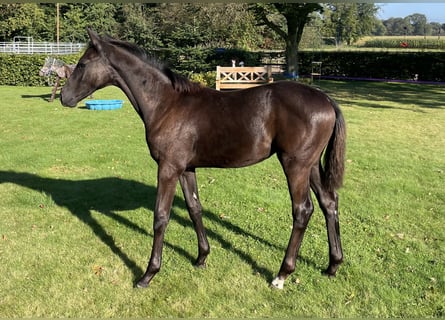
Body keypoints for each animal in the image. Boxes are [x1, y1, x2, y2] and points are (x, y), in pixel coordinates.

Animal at [60, 29, 346, 290]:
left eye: (83, 64)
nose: (64, 97)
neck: (167, 104)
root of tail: (326, 99)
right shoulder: (186, 168)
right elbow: (194, 208)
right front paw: (201, 257)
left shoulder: (168, 168)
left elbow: (160, 216)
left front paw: (148, 274)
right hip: (311, 166)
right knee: (328, 202)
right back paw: (333, 265)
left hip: (295, 165)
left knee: (302, 210)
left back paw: (282, 275)